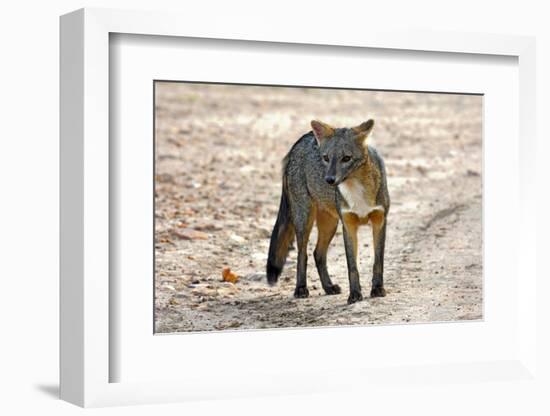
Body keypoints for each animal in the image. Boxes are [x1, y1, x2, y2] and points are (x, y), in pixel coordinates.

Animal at [268, 118, 392, 304]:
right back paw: (301, 288)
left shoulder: (379, 221)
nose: (329, 180)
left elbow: (378, 261)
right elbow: (352, 267)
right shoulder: (348, 225)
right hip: (304, 220)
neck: (357, 191)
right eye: (326, 158)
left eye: (346, 158)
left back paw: (328, 287)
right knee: (302, 255)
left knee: (317, 254)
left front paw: (377, 289)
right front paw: (355, 294)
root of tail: (302, 138)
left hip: (330, 224)